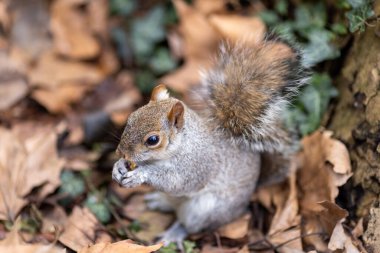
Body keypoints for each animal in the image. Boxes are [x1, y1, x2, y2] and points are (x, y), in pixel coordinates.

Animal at [111, 38, 308, 245]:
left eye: (153, 140)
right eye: (131, 117)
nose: (120, 152)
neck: (183, 144)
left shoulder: (197, 165)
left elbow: (177, 182)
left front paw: (140, 175)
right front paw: (118, 167)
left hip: (203, 209)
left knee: (189, 224)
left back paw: (173, 234)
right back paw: (160, 201)